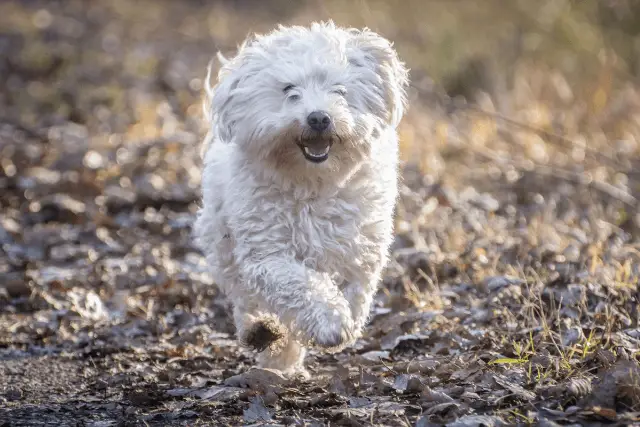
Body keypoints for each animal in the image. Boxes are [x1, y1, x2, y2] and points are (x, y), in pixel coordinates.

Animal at [192, 20, 408, 378]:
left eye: (339, 90)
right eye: (289, 90)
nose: (319, 117)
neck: (312, 183)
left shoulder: (362, 248)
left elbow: (355, 292)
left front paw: (342, 319)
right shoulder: (267, 253)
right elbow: (300, 284)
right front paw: (329, 322)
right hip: (223, 245)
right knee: (246, 298)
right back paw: (264, 336)